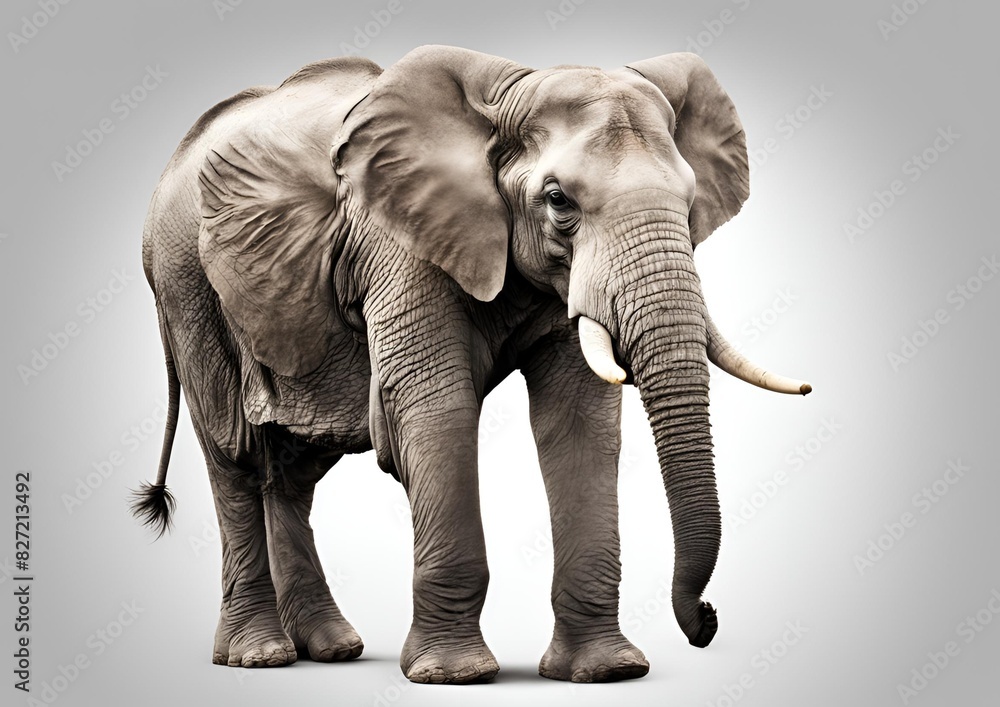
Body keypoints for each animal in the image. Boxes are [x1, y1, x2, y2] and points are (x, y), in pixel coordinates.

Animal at [132, 44, 811, 685]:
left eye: (691, 200)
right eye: (558, 200)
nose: (708, 622)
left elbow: (579, 420)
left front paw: (606, 672)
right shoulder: (399, 243)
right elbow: (438, 409)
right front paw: (454, 675)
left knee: (295, 469)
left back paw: (331, 649)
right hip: (186, 286)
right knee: (235, 455)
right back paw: (260, 656)